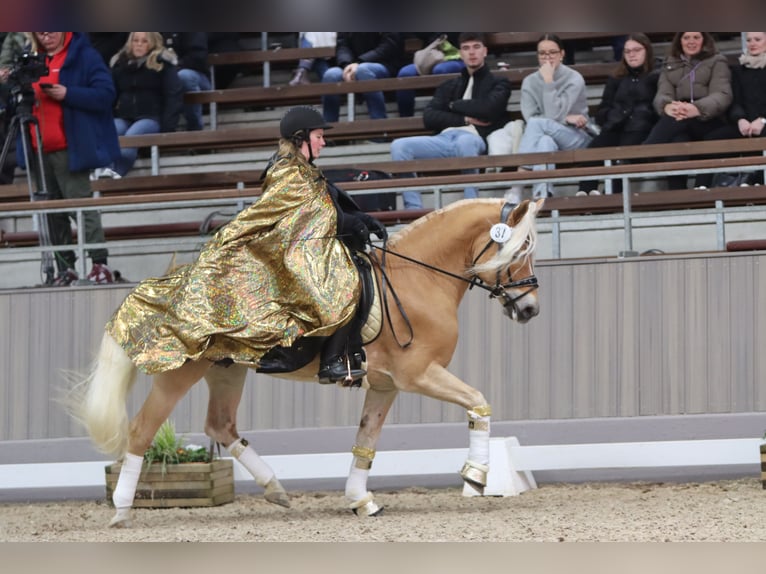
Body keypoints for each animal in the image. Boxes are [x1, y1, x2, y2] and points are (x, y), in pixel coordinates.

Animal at [69, 196, 544, 528]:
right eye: (521, 250)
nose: (530, 310)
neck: (419, 279)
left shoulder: (385, 384)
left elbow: (366, 442)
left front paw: (360, 501)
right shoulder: (419, 374)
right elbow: (479, 401)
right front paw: (477, 475)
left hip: (227, 370)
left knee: (220, 425)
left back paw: (276, 489)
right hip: (179, 373)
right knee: (141, 430)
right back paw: (122, 511)